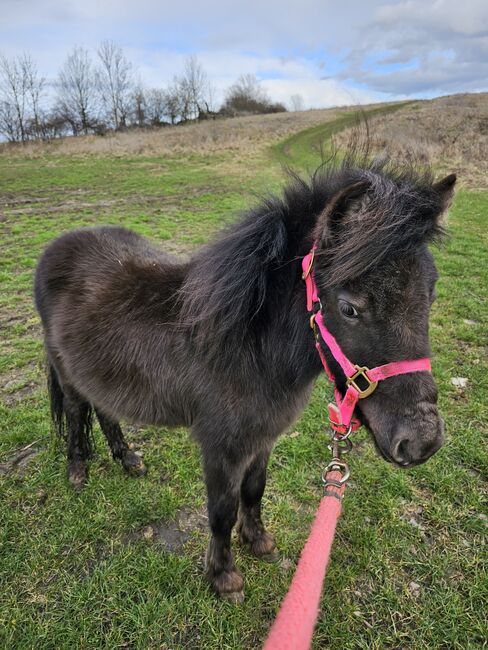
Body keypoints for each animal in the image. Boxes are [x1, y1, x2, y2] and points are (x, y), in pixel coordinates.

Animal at [35, 154, 458, 600]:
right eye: (349, 308)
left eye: (430, 294)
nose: (422, 441)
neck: (248, 348)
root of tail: (60, 244)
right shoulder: (222, 448)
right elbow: (221, 511)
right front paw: (224, 576)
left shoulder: (262, 439)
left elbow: (254, 490)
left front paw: (258, 542)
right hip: (67, 373)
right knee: (76, 410)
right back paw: (77, 470)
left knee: (104, 407)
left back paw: (127, 458)